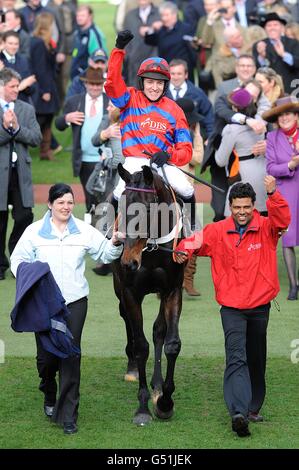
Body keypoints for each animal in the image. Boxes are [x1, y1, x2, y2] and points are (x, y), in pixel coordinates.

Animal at [112, 162, 186, 426]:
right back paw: (132, 368)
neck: (152, 250)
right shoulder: (130, 291)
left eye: (145, 209)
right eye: (120, 207)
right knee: (127, 321)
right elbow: (141, 346)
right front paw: (143, 406)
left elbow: (171, 342)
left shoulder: (172, 289)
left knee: (158, 330)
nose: (128, 262)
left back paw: (157, 383)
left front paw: (165, 400)